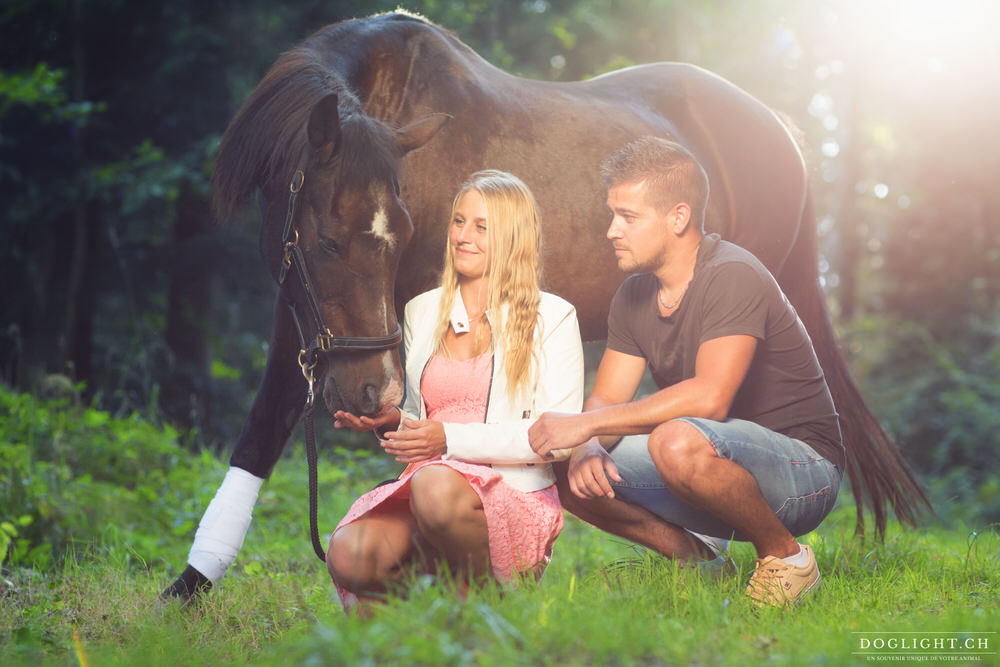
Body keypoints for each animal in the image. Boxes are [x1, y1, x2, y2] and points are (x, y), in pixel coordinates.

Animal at [162, 10, 920, 604]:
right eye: (326, 240)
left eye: (398, 233)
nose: (371, 391)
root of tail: (780, 130)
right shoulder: (302, 313)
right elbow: (262, 430)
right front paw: (189, 586)